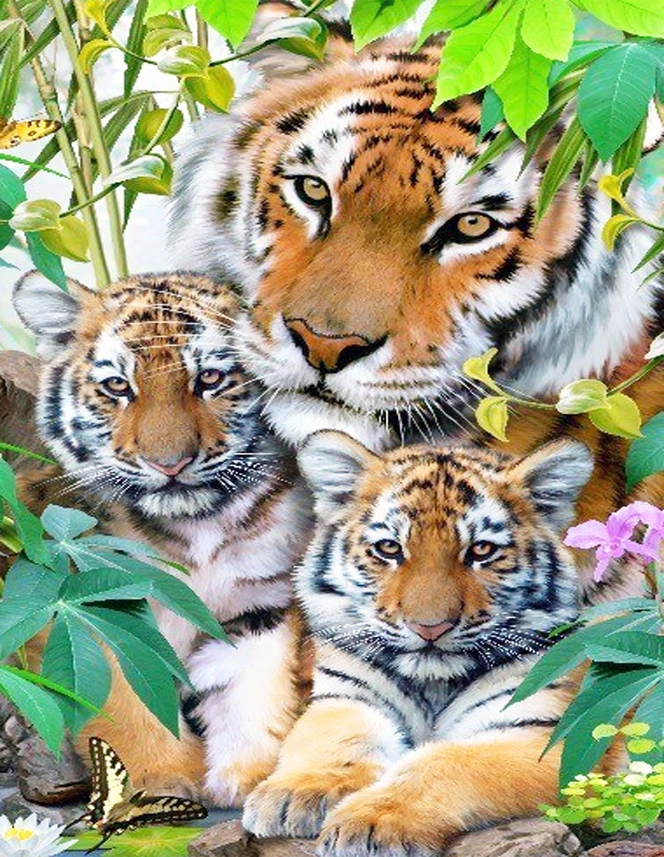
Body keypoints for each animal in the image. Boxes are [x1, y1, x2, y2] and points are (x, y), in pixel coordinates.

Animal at [11, 270, 313, 806]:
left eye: (210, 379)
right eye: (117, 386)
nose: (169, 463)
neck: (196, 527)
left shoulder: (262, 602)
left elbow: (252, 684)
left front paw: (248, 775)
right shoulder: (94, 606)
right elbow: (124, 698)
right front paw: (162, 780)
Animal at [242, 430, 599, 855]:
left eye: (481, 550)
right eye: (389, 548)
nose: (430, 627)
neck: (432, 684)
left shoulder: (544, 735)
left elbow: (446, 762)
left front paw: (372, 823)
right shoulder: (346, 697)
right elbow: (337, 738)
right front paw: (295, 794)